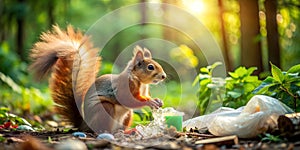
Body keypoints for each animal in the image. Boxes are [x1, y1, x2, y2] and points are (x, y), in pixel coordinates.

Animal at [29, 24, 166, 134]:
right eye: (150, 67)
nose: (164, 76)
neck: (140, 81)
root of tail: (85, 125)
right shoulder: (124, 86)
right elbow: (128, 99)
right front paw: (150, 102)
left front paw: (158, 101)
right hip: (104, 109)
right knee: (104, 129)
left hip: (127, 115)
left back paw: (128, 131)